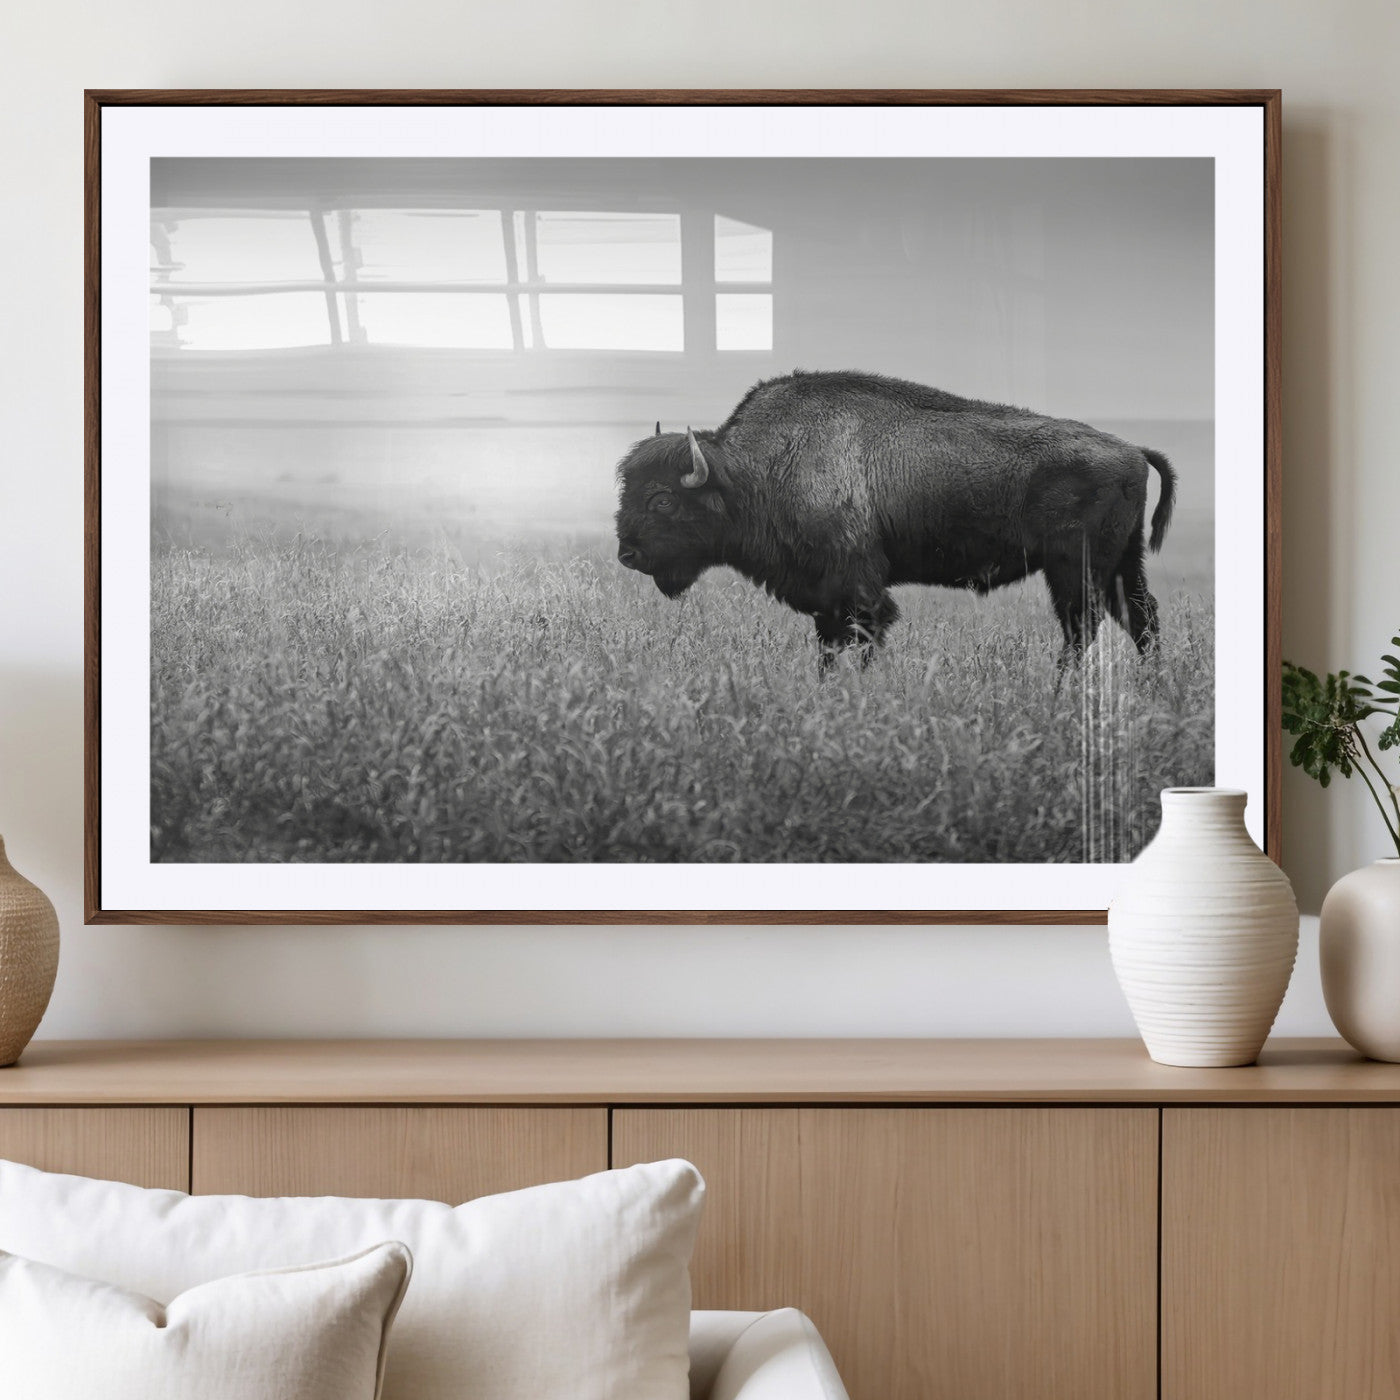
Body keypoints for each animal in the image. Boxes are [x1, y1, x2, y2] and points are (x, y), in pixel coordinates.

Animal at [614, 370, 1176, 674]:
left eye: (662, 500)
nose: (627, 554)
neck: (756, 470)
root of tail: (1132, 449)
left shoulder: (859, 590)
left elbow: (864, 638)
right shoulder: (826, 599)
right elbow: (829, 647)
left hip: (1073, 568)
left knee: (1083, 627)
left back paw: (1059, 691)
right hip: (1122, 563)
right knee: (1140, 618)